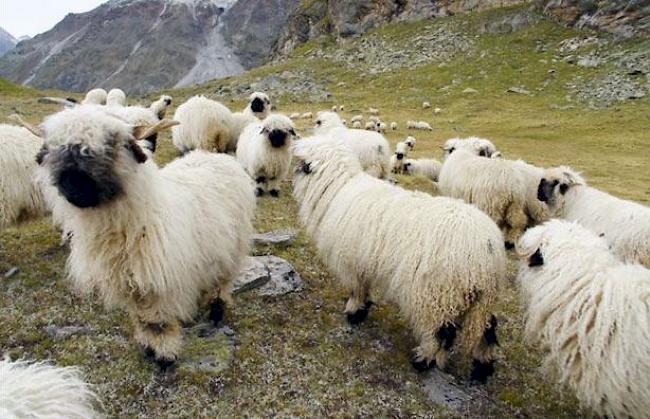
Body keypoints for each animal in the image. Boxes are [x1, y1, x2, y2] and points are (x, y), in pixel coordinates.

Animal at [34, 106, 253, 370]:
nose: (73, 187)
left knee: (222, 283)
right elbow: (141, 320)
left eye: (110, 145)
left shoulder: (157, 285)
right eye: (54, 150)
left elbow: (157, 324)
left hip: (233, 249)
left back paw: (216, 312)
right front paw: (148, 349)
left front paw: (165, 358)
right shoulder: (131, 284)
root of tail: (213, 155)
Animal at [292, 141, 506, 384]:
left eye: (303, 164)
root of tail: (488, 251)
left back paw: (424, 360)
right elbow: (365, 288)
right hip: (476, 298)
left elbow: (357, 289)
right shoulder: (365, 262)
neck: (339, 189)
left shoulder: (352, 262)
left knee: (440, 333)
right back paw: (482, 368)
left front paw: (353, 313)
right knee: (488, 328)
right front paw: (363, 309)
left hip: (437, 294)